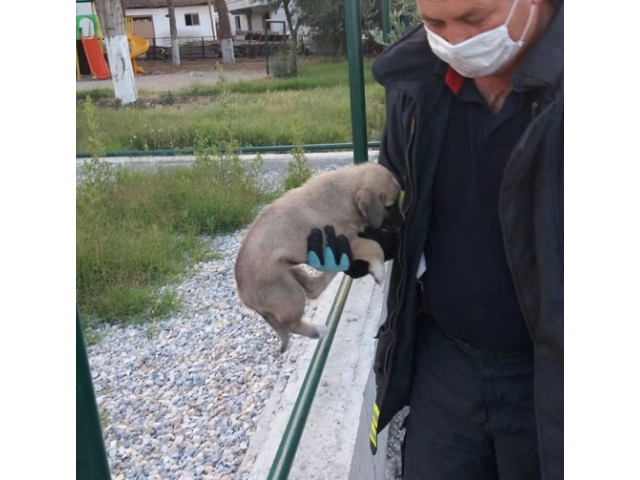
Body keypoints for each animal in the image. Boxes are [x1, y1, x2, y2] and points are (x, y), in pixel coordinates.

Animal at [232, 162, 402, 352]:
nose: (402, 224)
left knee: (312, 289)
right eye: (389, 207)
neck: (346, 195)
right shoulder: (350, 241)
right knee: (291, 322)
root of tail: (244, 295)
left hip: (290, 274)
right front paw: (379, 272)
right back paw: (317, 331)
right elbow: (375, 246)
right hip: (289, 293)